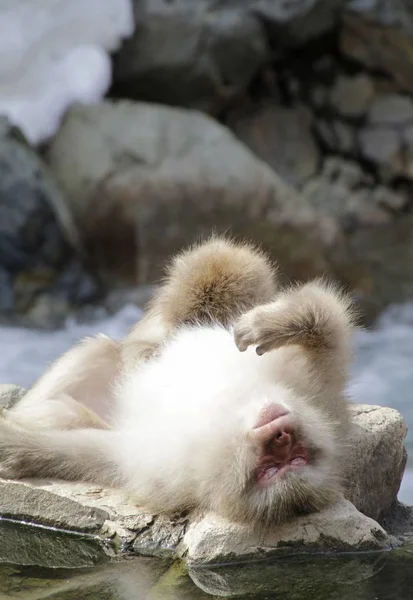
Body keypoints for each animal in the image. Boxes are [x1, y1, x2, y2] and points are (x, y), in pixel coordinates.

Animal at [0, 237, 354, 524]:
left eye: (287, 461)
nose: (281, 436)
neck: (231, 409)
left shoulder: (160, 470)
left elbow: (88, 452)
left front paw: (17, 446)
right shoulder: (313, 388)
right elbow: (329, 327)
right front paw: (271, 325)